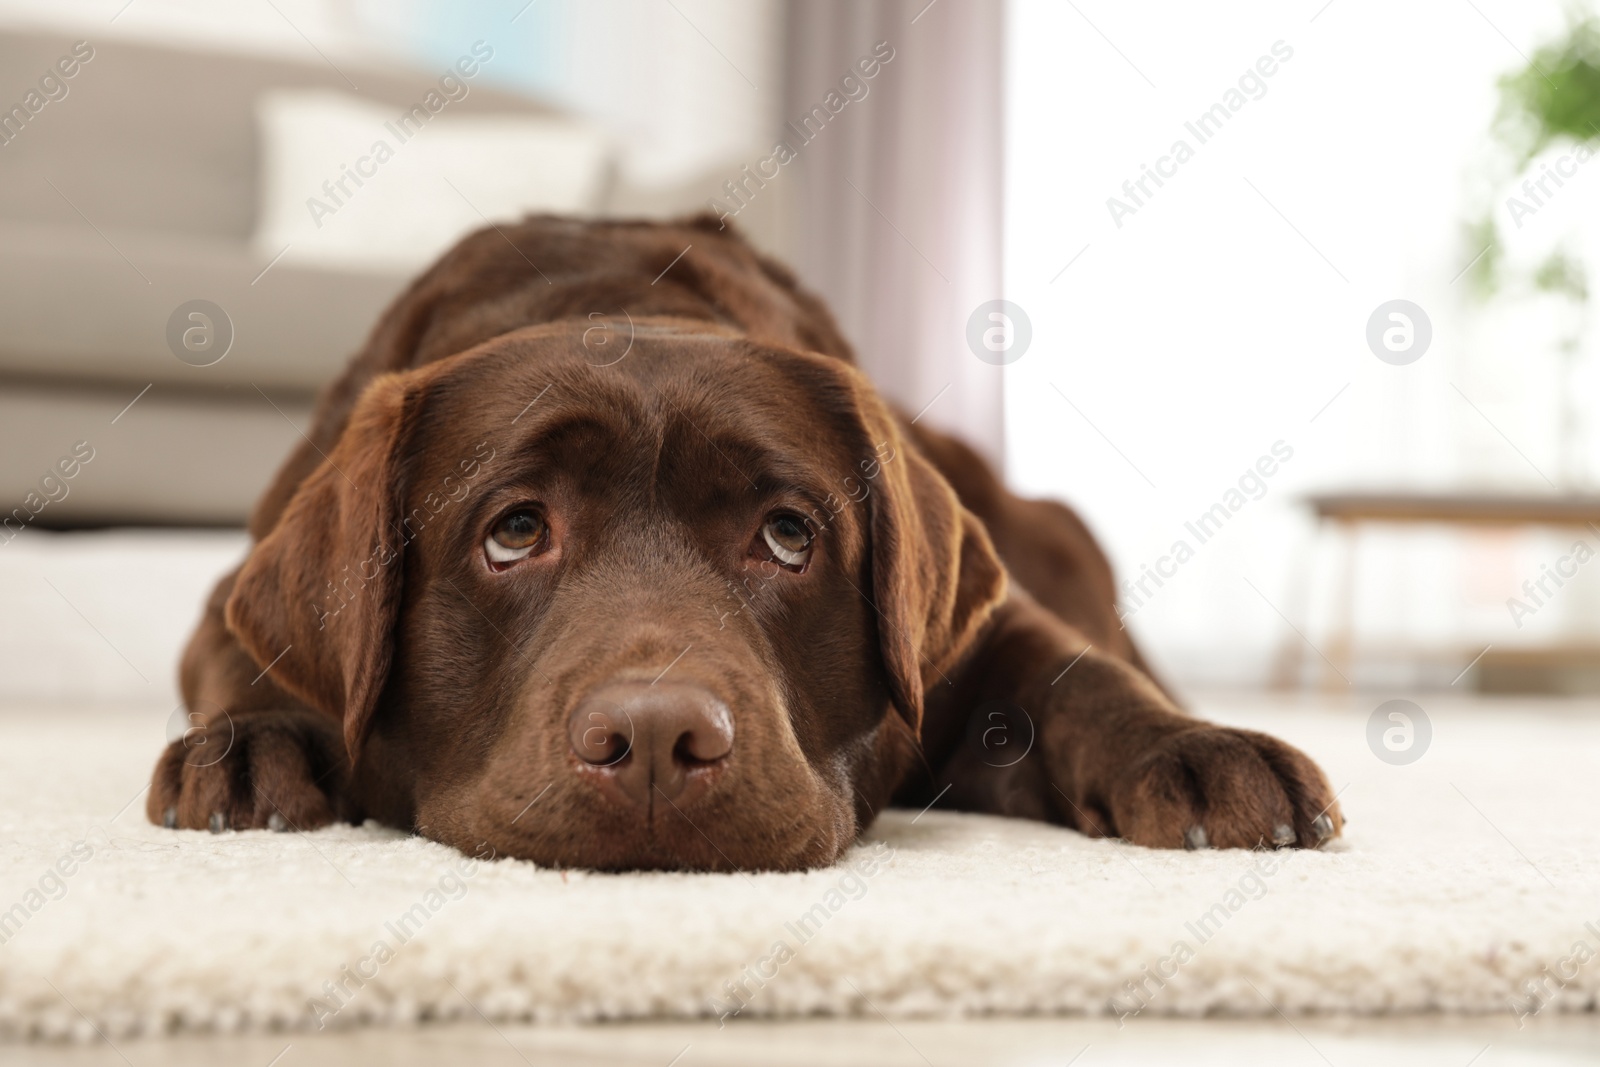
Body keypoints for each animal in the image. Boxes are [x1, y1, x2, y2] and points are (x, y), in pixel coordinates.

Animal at [150, 214, 1344, 870]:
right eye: (515, 530)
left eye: (786, 535)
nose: (655, 741)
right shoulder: (232, 591)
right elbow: (248, 653)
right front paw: (253, 741)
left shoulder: (986, 636)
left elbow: (1074, 675)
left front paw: (1198, 750)